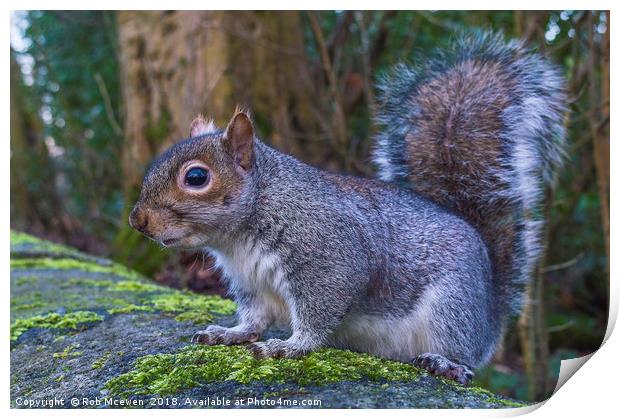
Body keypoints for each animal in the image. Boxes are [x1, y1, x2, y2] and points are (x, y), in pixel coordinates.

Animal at [130, 32, 568, 388]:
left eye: (196, 177)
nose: (138, 220)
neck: (240, 234)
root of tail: (491, 310)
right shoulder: (250, 282)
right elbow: (254, 318)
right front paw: (231, 333)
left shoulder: (330, 257)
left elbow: (319, 312)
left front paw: (290, 346)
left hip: (454, 306)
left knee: (465, 353)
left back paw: (447, 364)